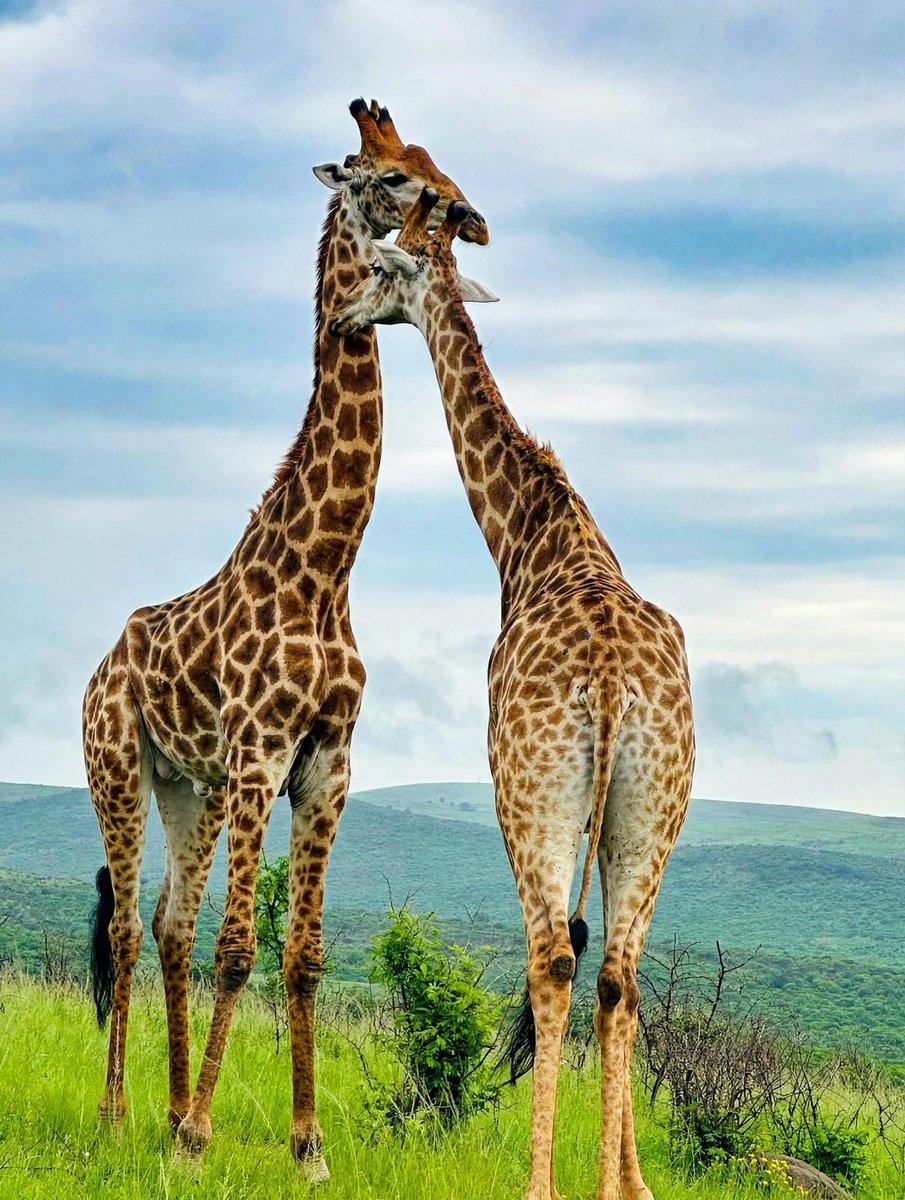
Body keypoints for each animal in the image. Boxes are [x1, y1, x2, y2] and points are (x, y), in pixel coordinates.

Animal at [82, 103, 488, 1176]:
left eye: (432, 162)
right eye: (387, 177)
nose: (469, 215)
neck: (325, 567)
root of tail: (98, 667)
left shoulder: (326, 765)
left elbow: (300, 955)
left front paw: (305, 1143)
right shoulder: (264, 751)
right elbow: (240, 948)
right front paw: (201, 1134)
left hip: (190, 788)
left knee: (167, 924)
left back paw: (163, 1106)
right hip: (118, 769)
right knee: (134, 933)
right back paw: (123, 1117)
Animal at [332, 190, 695, 1200]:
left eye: (379, 271)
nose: (340, 318)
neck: (532, 532)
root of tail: (609, 682)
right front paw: (635, 1183)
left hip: (534, 794)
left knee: (554, 959)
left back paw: (542, 1186)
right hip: (653, 802)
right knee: (618, 973)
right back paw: (612, 1186)